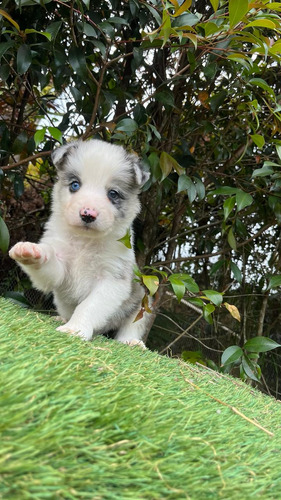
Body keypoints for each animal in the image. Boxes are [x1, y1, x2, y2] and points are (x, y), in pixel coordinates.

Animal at [8, 139, 150, 346]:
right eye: (75, 185)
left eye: (113, 193)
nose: (87, 214)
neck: (85, 241)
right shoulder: (61, 270)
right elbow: (49, 267)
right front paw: (31, 252)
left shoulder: (111, 280)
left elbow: (88, 306)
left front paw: (75, 329)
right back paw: (60, 317)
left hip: (142, 302)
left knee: (132, 326)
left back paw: (131, 342)